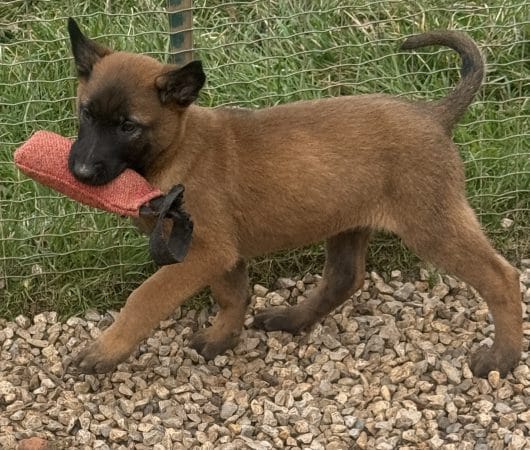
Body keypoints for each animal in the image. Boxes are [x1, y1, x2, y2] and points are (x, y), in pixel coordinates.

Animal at [66, 17, 520, 378]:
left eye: (128, 126)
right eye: (86, 113)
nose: (80, 172)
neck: (179, 149)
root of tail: (434, 115)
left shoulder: (205, 250)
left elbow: (145, 298)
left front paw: (105, 350)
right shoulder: (223, 253)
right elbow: (232, 296)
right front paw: (222, 339)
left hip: (431, 223)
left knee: (501, 277)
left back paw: (502, 358)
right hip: (350, 221)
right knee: (344, 278)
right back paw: (292, 318)